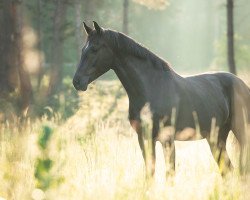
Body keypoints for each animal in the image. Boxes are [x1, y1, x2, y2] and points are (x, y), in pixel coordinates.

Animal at [73, 21, 250, 173]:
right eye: (82, 50)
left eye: (95, 49)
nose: (77, 81)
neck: (151, 88)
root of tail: (242, 84)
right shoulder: (144, 139)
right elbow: (149, 173)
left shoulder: (168, 140)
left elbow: (170, 173)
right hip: (216, 137)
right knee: (227, 169)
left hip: (240, 132)